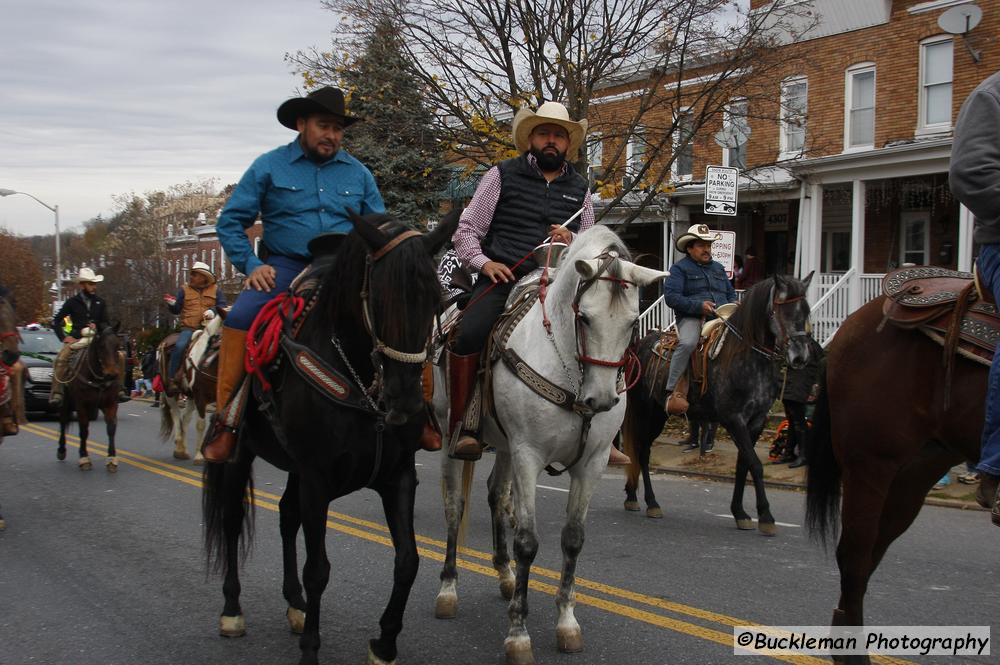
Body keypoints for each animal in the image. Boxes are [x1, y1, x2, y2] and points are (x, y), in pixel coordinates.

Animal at [56, 322, 124, 470]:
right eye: (101, 345)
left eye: (118, 346)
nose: (112, 374)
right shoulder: (82, 404)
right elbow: (84, 430)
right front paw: (84, 458)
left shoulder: (110, 403)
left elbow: (111, 428)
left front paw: (111, 458)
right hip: (65, 402)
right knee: (63, 422)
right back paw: (61, 450)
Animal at [203, 211, 458, 664]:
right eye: (379, 298)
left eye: (436, 301)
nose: (406, 400)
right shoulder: (317, 479)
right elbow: (318, 569)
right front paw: (311, 650)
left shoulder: (397, 476)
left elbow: (407, 561)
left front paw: (384, 644)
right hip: (239, 457)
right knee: (232, 521)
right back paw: (232, 610)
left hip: (294, 470)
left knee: (286, 516)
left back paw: (295, 605)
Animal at [436, 226, 664, 660]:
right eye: (585, 318)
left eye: (631, 323)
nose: (601, 400)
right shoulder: (529, 455)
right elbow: (527, 541)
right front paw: (518, 634)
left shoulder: (590, 464)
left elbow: (572, 540)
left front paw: (567, 624)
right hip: (450, 435)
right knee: (455, 506)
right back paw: (448, 589)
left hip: (503, 445)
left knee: (496, 495)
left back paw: (505, 575)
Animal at [620, 272, 816, 532]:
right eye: (782, 311)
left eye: (805, 311)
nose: (800, 357)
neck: (747, 358)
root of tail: (639, 344)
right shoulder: (733, 419)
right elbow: (756, 465)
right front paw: (765, 516)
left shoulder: (756, 421)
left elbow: (744, 464)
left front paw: (741, 513)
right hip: (645, 412)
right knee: (640, 450)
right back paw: (648, 502)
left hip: (659, 414)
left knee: (641, 450)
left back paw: (635, 497)